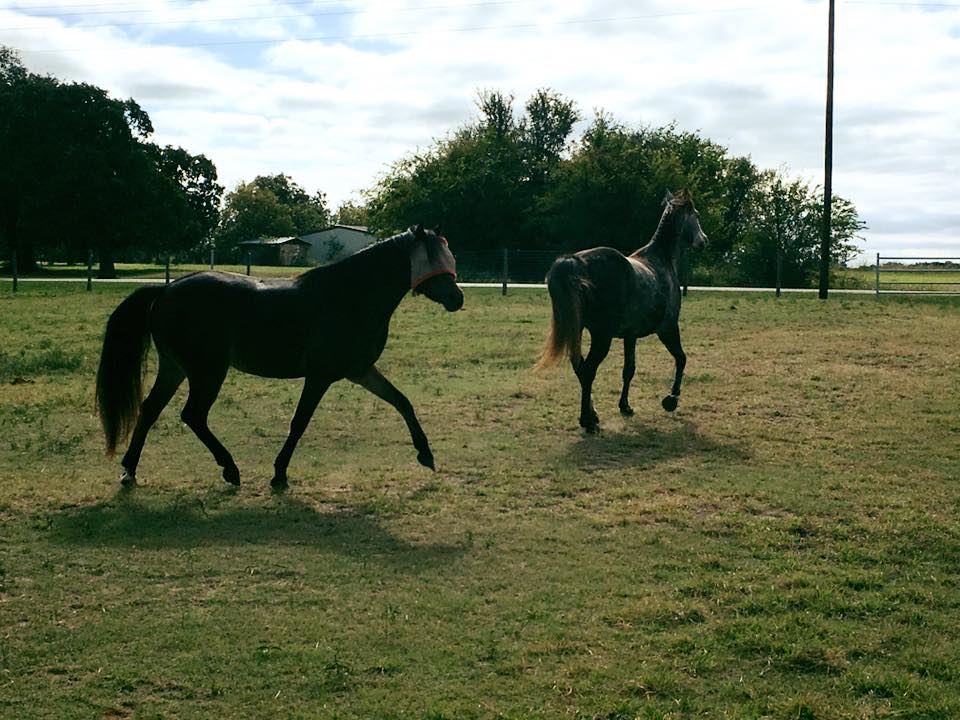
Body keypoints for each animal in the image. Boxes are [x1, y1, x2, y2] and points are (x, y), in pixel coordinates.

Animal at [95, 224, 463, 490]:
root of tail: (167, 289)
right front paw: (279, 474)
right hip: (207, 371)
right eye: (434, 258)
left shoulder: (361, 371)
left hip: (175, 369)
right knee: (193, 415)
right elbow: (299, 423)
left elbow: (402, 402)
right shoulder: (320, 375)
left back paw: (129, 471)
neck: (350, 297)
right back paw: (230, 469)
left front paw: (426, 454)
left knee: (150, 410)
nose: (457, 298)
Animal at [536, 189, 708, 432]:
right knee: (588, 370)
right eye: (696, 214)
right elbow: (681, 358)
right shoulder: (668, 329)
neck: (660, 260)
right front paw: (671, 399)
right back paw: (588, 421)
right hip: (602, 336)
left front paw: (625, 406)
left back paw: (592, 414)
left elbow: (629, 369)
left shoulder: (630, 335)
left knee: (579, 367)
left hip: (577, 331)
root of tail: (574, 261)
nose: (704, 240)